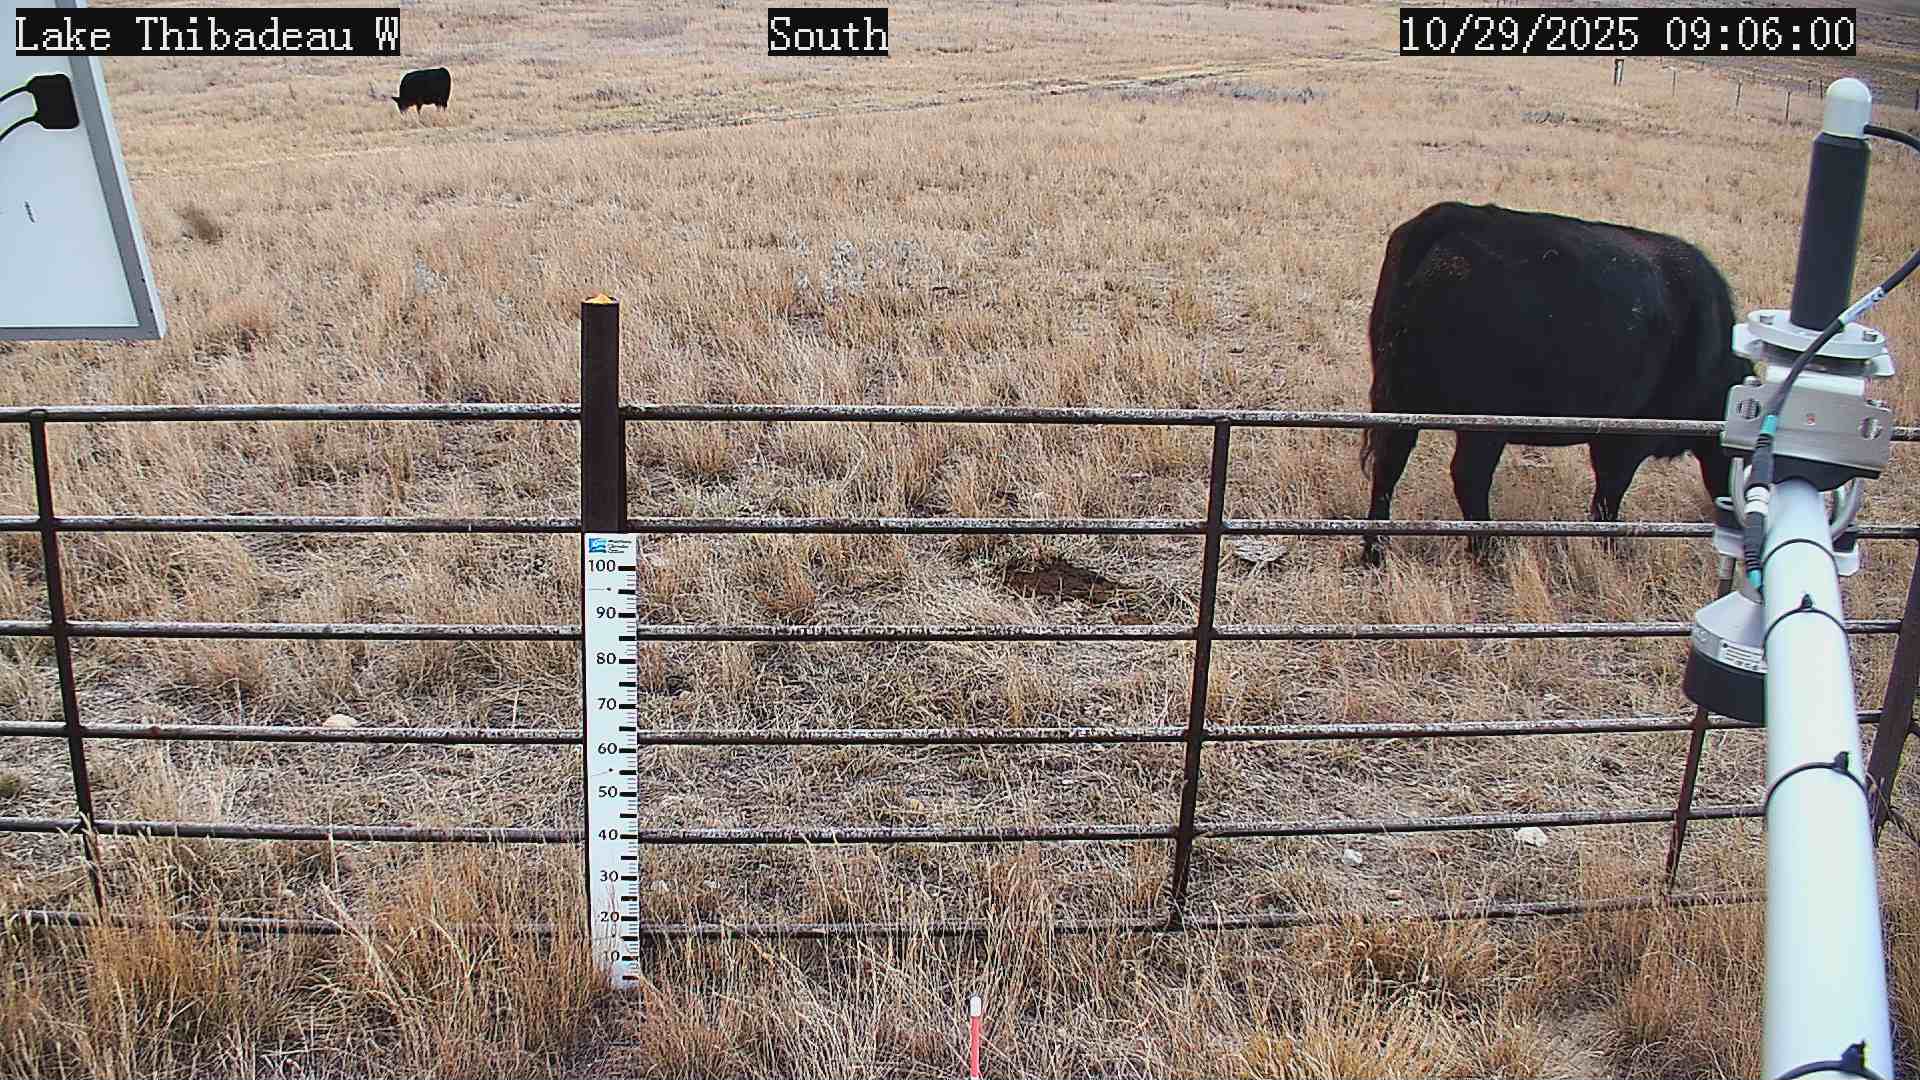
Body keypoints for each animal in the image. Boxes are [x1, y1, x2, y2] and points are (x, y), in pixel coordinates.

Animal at [1358, 201, 1751, 567]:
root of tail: (1448, 218)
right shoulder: (1631, 434)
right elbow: (1610, 492)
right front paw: (1611, 547)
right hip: (1485, 420)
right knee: (1468, 476)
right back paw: (1486, 551)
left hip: (1397, 402)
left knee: (1389, 464)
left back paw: (1374, 552)